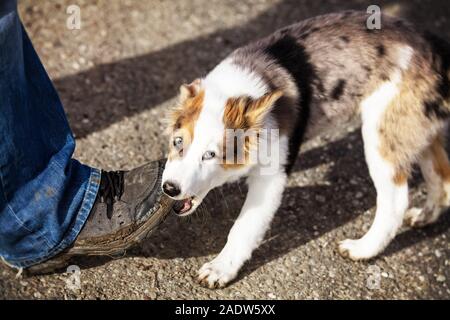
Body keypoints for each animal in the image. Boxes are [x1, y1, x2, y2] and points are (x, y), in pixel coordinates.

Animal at [162, 11, 450, 288]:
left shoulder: (271, 177)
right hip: (417, 127)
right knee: (441, 175)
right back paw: (425, 215)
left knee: (395, 200)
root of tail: (434, 48)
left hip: (382, 132)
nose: (169, 188)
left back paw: (363, 249)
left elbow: (245, 226)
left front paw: (221, 268)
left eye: (210, 154)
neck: (240, 91)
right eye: (177, 142)